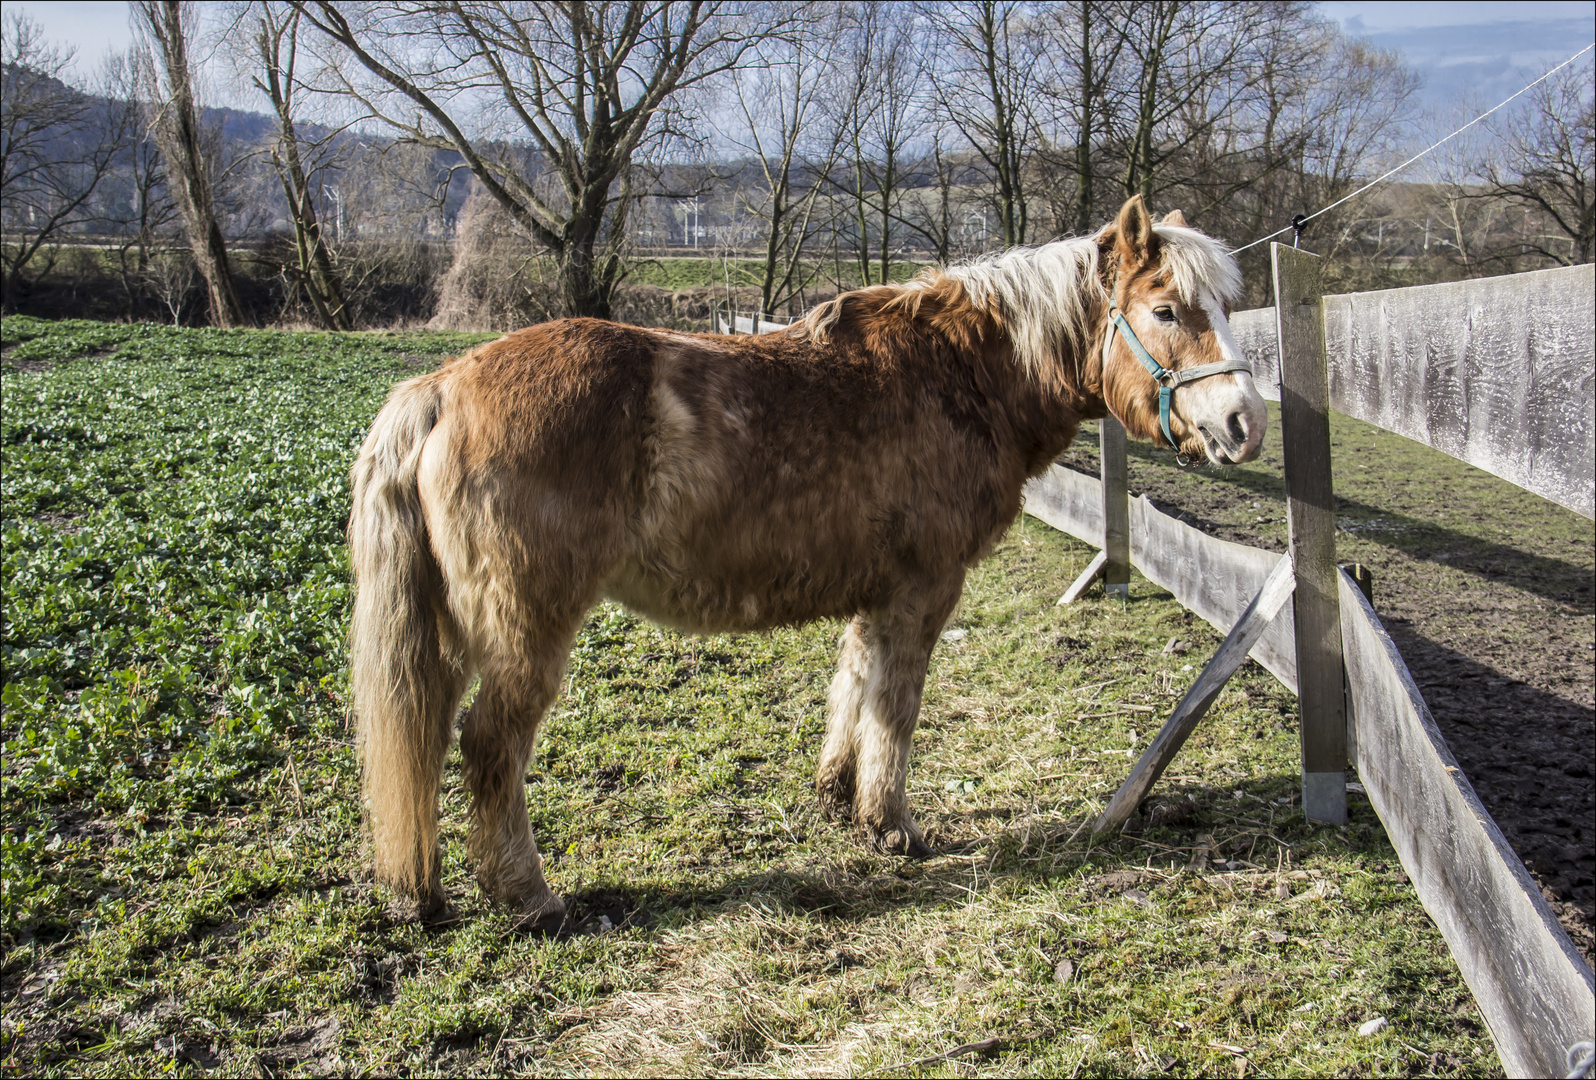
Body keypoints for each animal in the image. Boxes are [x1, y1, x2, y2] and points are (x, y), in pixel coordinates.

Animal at [352, 193, 1270, 925]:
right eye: (1165, 310)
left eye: (1226, 307)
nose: (1243, 423)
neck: (962, 373)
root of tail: (442, 388)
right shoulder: (924, 590)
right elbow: (896, 708)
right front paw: (892, 825)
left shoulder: (879, 593)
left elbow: (854, 687)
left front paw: (838, 795)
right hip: (527, 630)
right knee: (490, 745)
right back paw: (530, 897)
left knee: (432, 738)